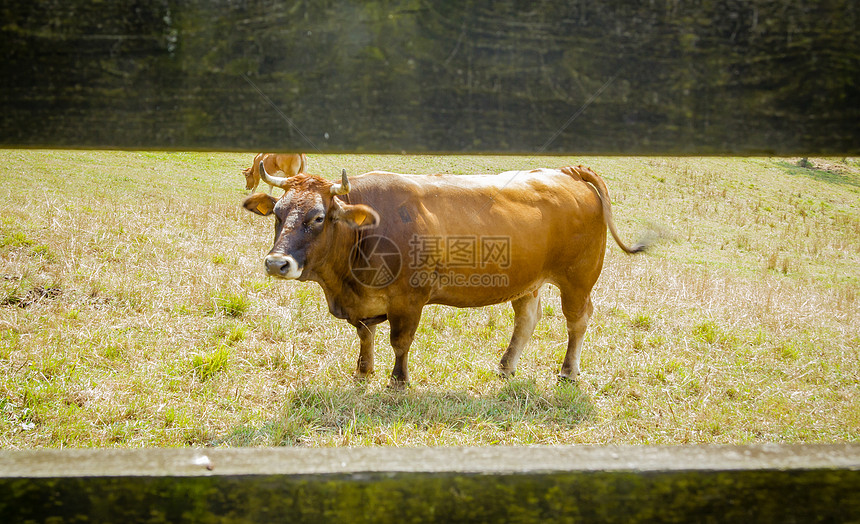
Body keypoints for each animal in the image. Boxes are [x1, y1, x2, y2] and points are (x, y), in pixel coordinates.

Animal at [242, 163, 644, 384]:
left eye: (318, 217)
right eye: (277, 212)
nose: (276, 263)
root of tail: (564, 171)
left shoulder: (408, 300)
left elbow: (400, 342)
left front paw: (398, 380)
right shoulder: (364, 301)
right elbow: (365, 335)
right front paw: (363, 371)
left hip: (578, 279)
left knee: (577, 321)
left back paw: (568, 371)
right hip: (527, 281)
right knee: (527, 318)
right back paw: (506, 367)